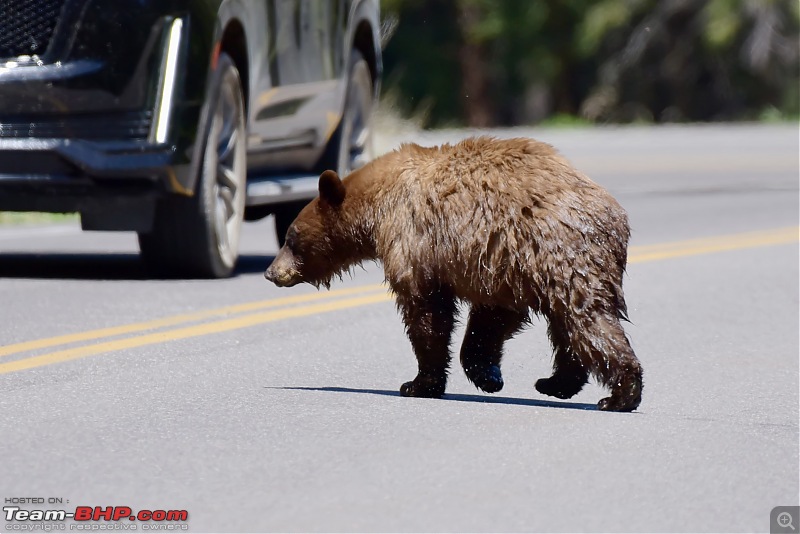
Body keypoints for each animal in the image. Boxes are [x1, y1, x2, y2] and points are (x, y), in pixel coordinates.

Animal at [266, 136, 640, 412]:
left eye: (291, 237)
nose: (271, 272)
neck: (378, 203)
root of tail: (615, 216)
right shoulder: (499, 264)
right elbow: (493, 315)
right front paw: (488, 374)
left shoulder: (417, 242)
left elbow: (427, 313)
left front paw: (418, 383)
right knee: (567, 328)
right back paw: (556, 383)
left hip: (562, 256)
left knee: (588, 321)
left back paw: (621, 394)